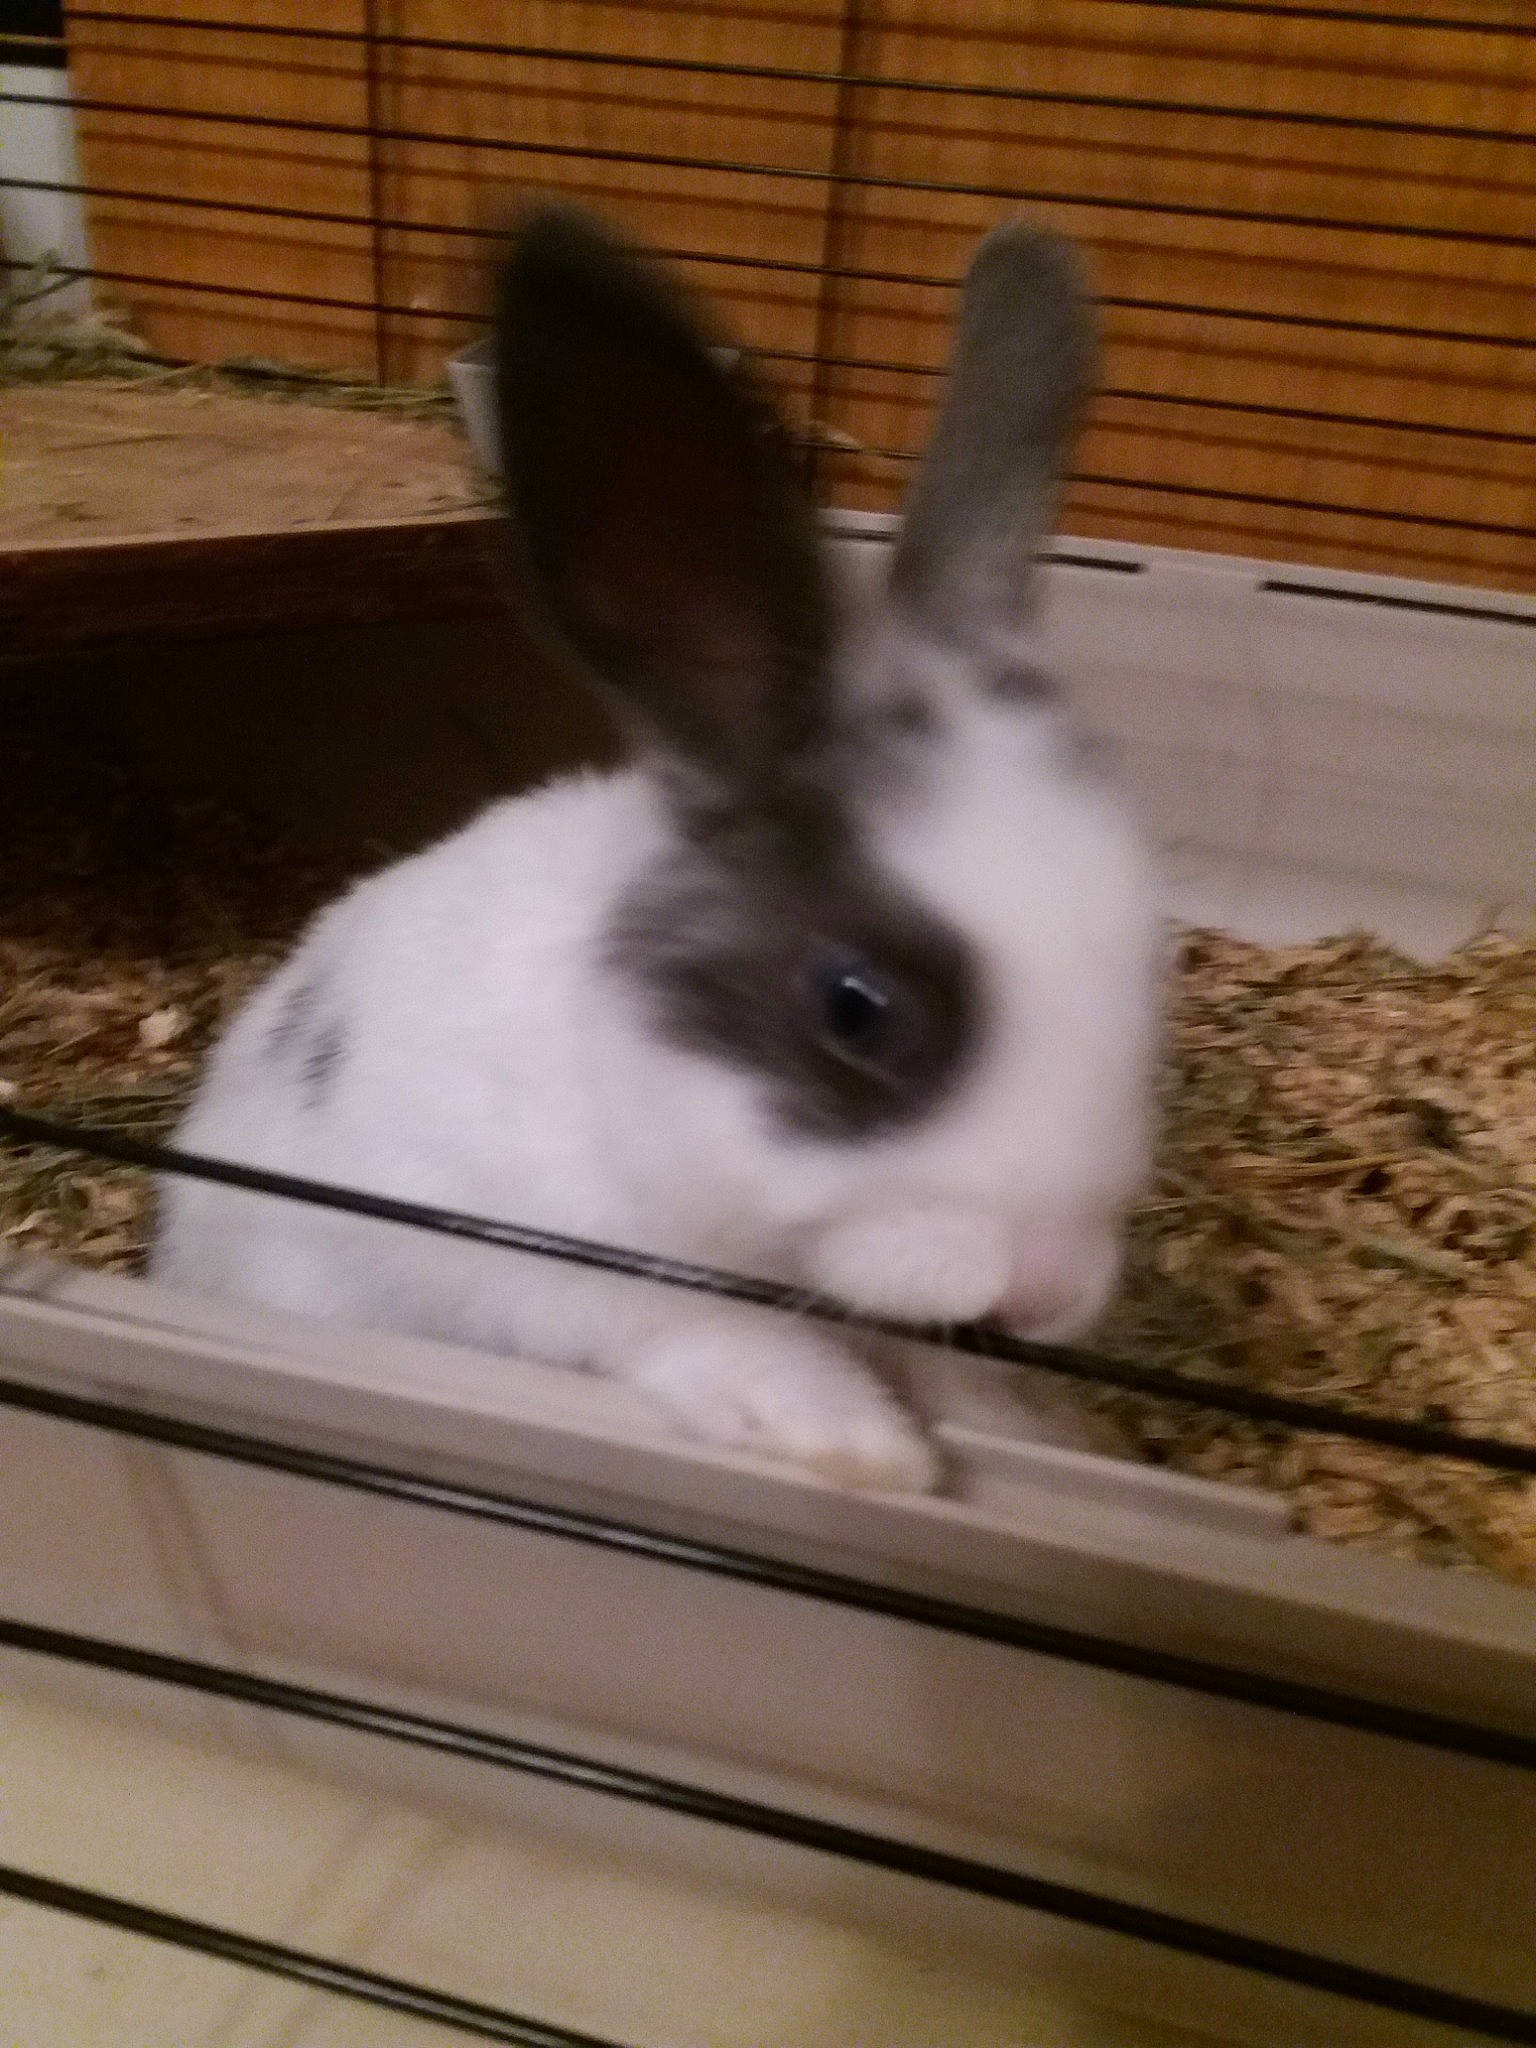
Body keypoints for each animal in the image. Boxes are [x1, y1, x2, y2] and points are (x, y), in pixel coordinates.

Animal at [152, 205, 1162, 1493]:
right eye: (856, 1009)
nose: (1049, 1288)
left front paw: (1032, 1425)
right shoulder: (521, 1251)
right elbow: (701, 1327)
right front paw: (855, 1441)